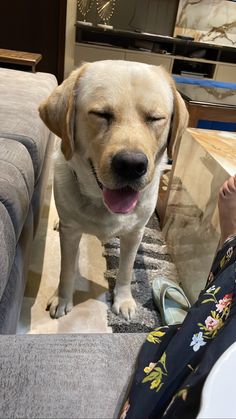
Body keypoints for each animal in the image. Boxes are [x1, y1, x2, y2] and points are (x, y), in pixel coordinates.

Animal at [38, 60, 188, 322]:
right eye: (101, 114)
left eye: (155, 118)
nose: (131, 165)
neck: (102, 204)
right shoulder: (70, 234)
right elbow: (66, 270)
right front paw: (63, 299)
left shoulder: (135, 234)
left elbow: (126, 270)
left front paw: (124, 300)